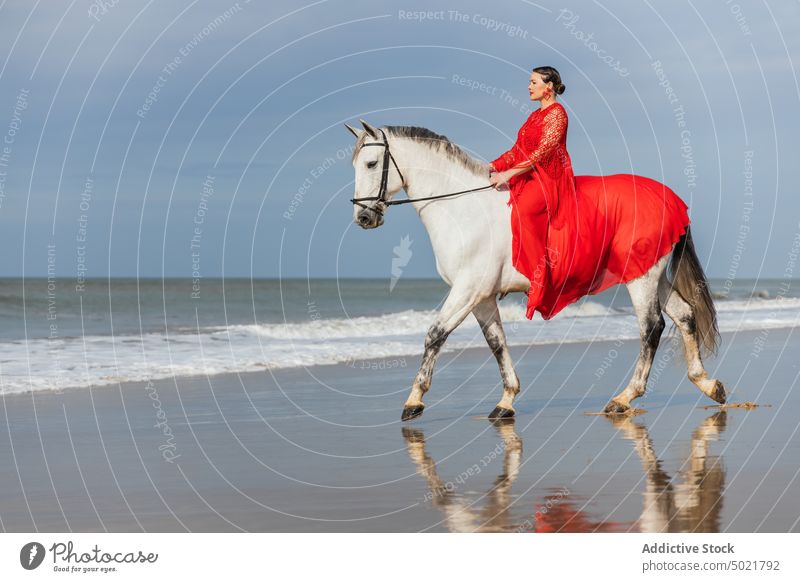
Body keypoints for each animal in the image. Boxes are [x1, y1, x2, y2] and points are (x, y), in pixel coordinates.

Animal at [344, 120, 724, 420]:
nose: (363, 217)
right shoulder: (482, 297)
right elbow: (496, 343)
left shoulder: (467, 290)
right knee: (685, 315)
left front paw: (414, 400)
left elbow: (435, 335)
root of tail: (671, 199)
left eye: (371, 163)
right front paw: (506, 401)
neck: (463, 207)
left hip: (640, 279)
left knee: (651, 328)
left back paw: (624, 397)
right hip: (653, 276)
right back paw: (707, 384)